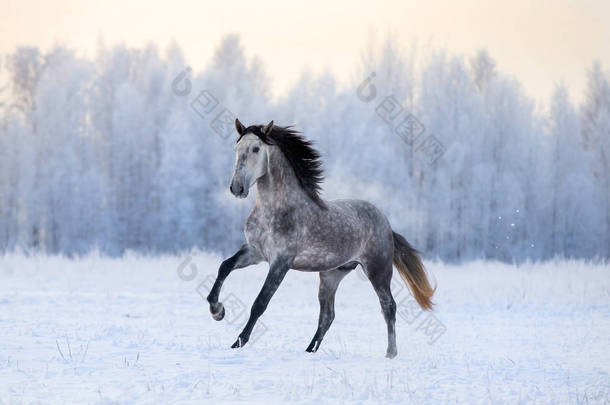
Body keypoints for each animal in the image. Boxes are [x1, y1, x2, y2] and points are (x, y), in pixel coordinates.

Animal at [207, 117, 434, 356]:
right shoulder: (255, 252)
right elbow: (224, 266)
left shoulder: (281, 262)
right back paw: (310, 350)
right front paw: (217, 311)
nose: (237, 188)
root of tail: (386, 223)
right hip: (331, 276)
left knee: (388, 306)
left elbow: (260, 302)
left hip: (378, 271)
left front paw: (238, 342)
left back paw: (390, 353)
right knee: (327, 316)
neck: (276, 210)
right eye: (236, 148)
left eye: (256, 149)